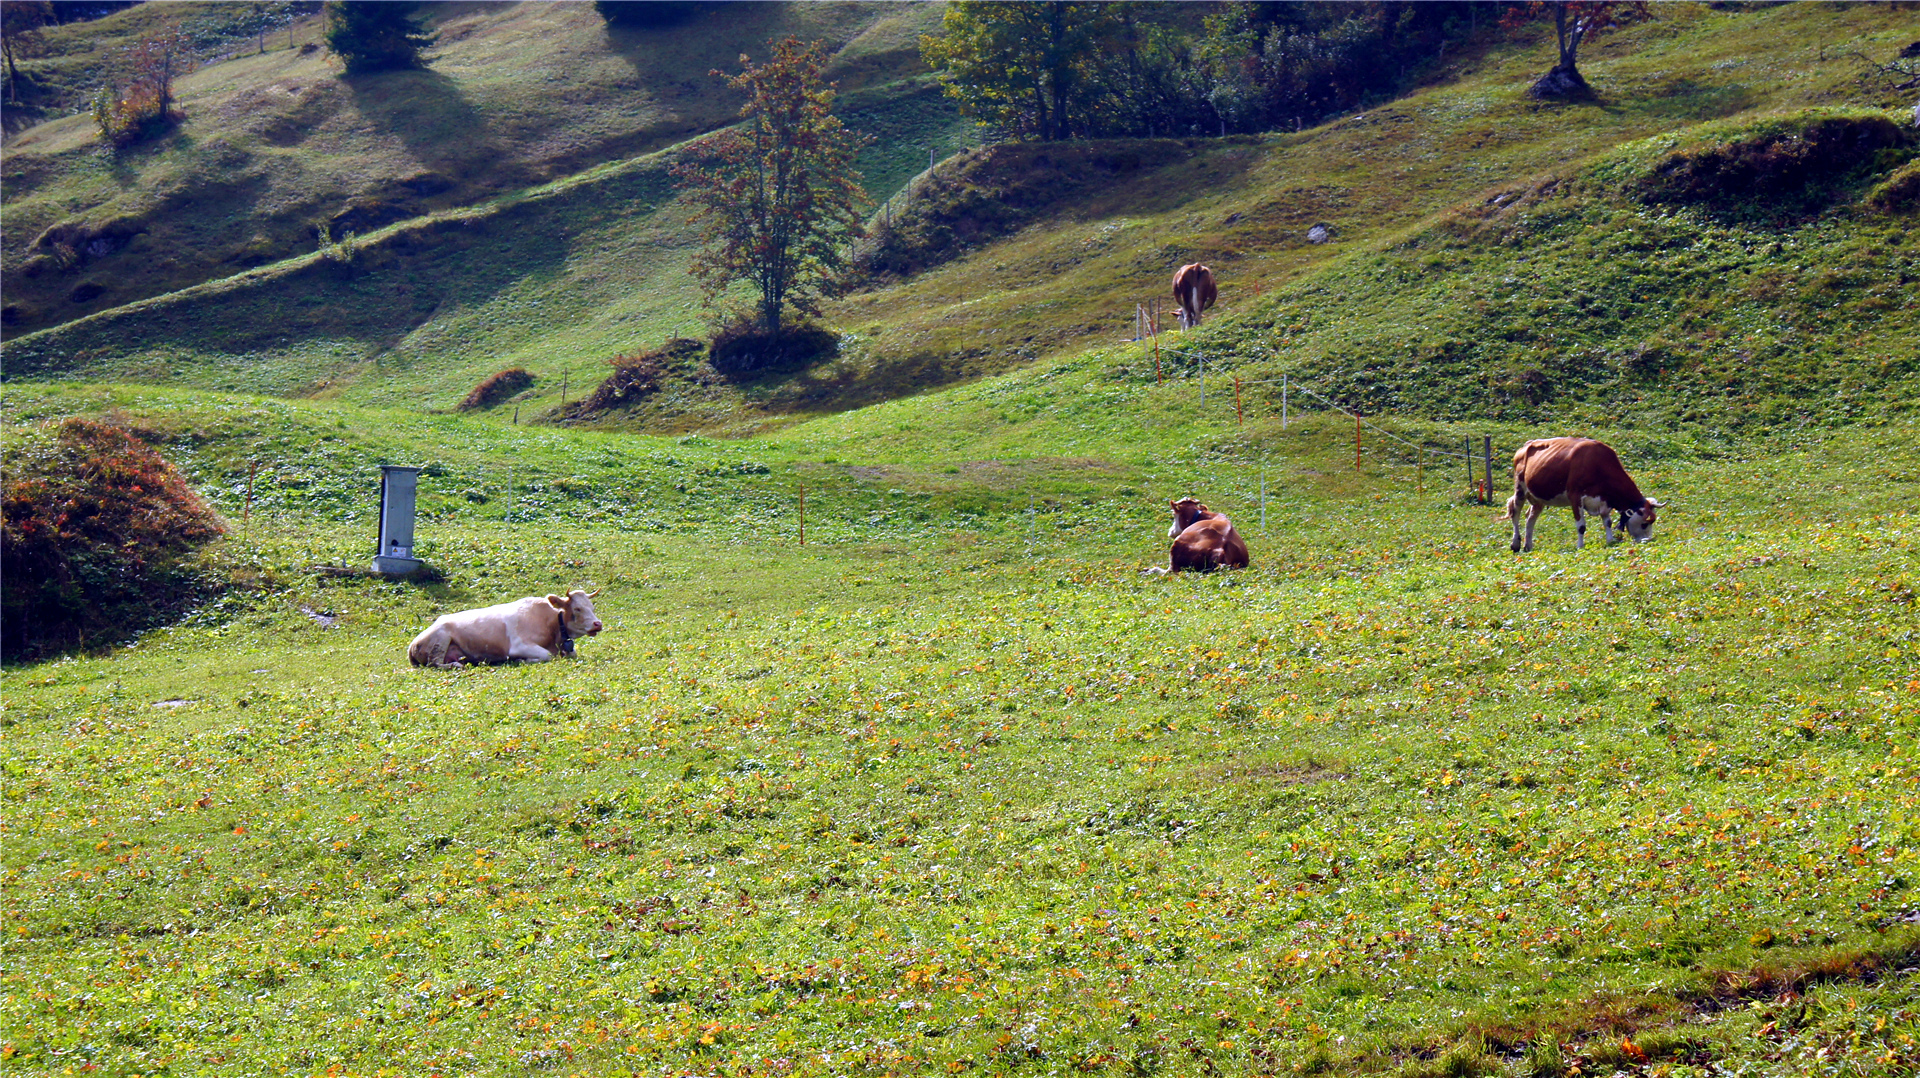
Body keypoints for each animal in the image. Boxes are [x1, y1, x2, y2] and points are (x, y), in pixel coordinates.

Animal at [408, 588, 602, 664]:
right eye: (577, 608)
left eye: (592, 607)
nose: (597, 624)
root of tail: (412, 645)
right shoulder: (518, 645)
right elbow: (546, 655)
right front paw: (523, 660)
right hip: (440, 640)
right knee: (436, 664)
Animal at [1497, 434, 1666, 549]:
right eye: (1644, 524)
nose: (1647, 540)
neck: (1599, 465)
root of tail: (1526, 445)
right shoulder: (1575, 496)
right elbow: (1581, 526)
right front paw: (1580, 546)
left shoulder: (1604, 501)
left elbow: (1608, 522)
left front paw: (1610, 541)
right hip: (1520, 488)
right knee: (1516, 514)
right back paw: (1516, 544)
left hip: (1538, 498)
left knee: (1530, 518)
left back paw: (1529, 546)